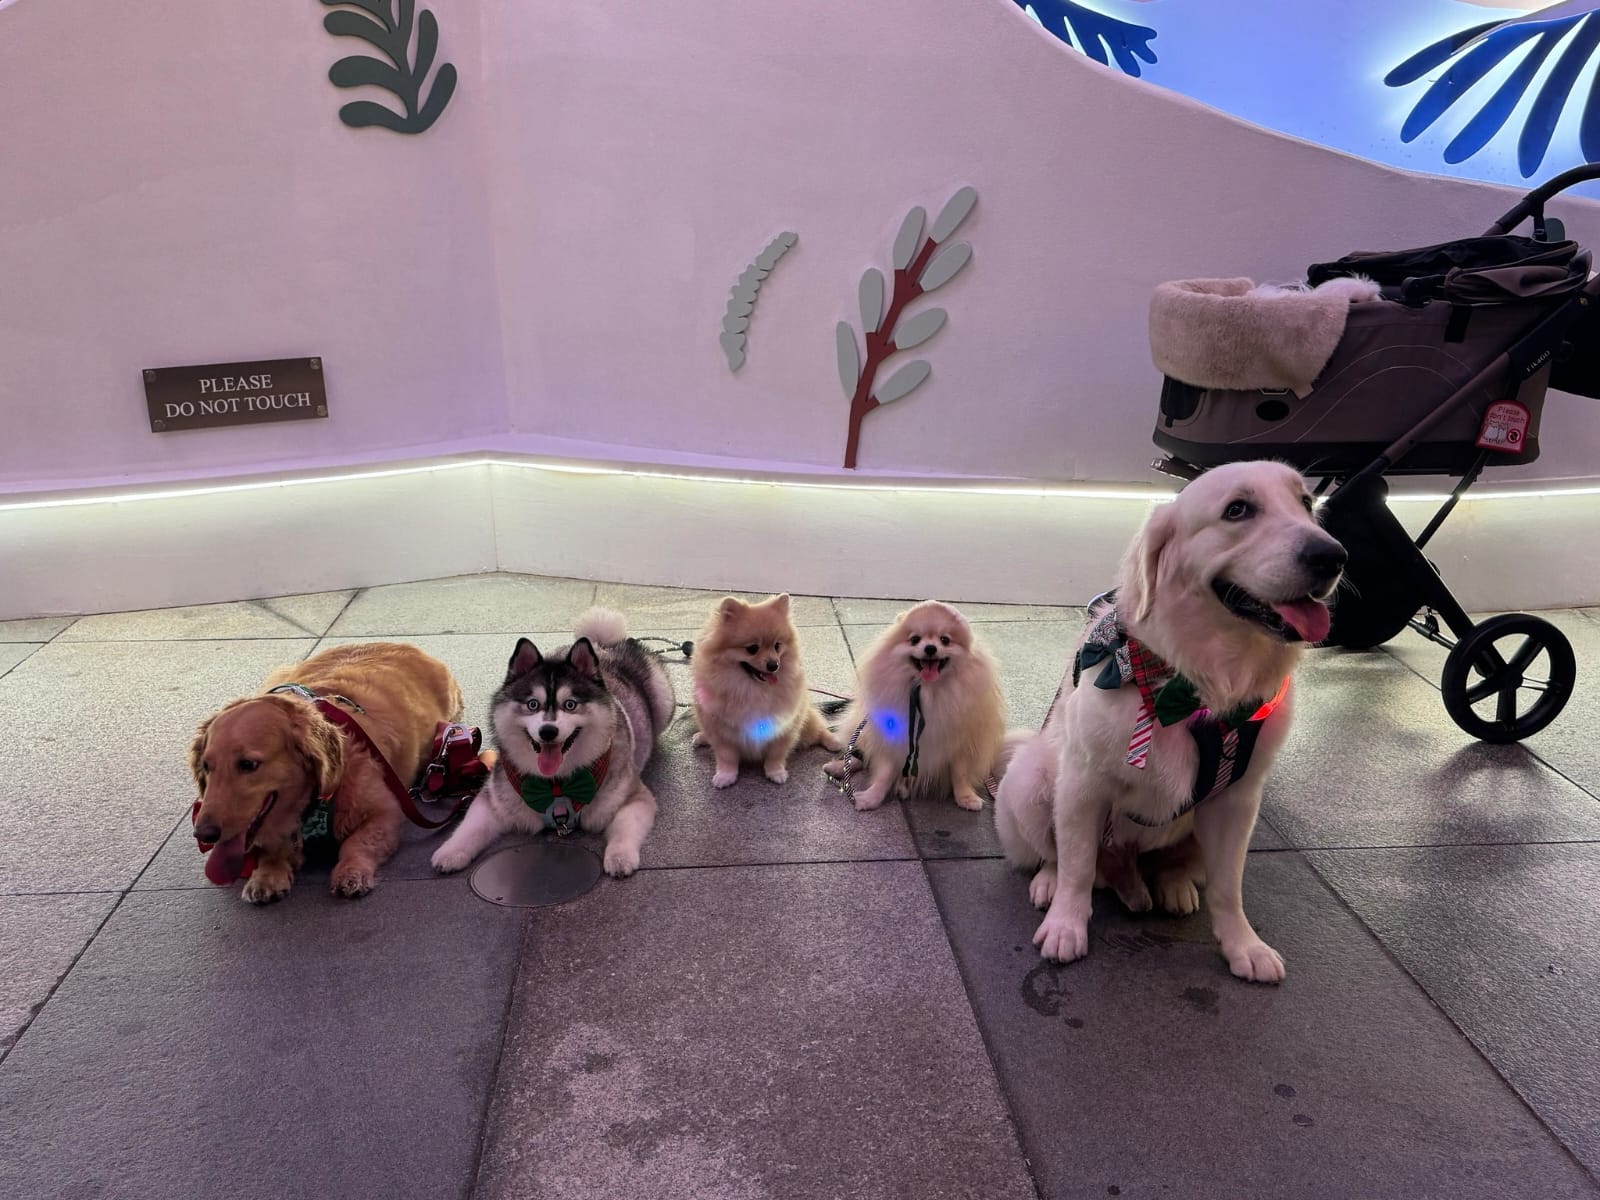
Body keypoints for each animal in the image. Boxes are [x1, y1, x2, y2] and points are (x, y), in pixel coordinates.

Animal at [189, 642, 466, 904]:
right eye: (206, 766)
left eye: (248, 764)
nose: (203, 834)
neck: (311, 805)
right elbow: (270, 851)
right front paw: (265, 877)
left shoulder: (385, 812)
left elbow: (357, 844)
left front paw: (351, 872)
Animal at [430, 608, 674, 879]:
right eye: (532, 704)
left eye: (570, 704)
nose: (548, 731)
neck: (556, 786)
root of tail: (603, 645)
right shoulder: (493, 799)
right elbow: (469, 826)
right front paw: (450, 852)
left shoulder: (634, 797)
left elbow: (624, 826)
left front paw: (620, 857)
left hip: (664, 700)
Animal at [690, 593, 842, 787]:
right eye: (752, 648)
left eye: (777, 646)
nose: (774, 664)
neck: (752, 689)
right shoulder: (720, 730)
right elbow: (726, 757)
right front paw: (725, 776)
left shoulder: (784, 726)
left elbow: (775, 754)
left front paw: (775, 772)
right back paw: (701, 737)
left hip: (806, 719)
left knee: (819, 730)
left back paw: (834, 741)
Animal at [823, 601, 1006, 812]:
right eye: (915, 639)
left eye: (945, 640)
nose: (930, 648)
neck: (928, 691)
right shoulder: (893, 737)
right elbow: (885, 772)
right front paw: (871, 797)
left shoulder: (962, 743)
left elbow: (959, 773)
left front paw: (966, 797)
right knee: (858, 753)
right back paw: (838, 767)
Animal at [994, 461, 1345, 983]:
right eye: (1237, 510)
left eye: (1305, 503)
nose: (1333, 556)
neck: (1201, 684)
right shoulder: (1082, 784)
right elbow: (1076, 865)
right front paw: (1065, 926)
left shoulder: (1237, 801)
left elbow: (1228, 888)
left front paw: (1243, 946)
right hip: (1029, 777)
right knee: (1060, 855)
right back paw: (1049, 884)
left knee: (1175, 865)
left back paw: (1174, 887)